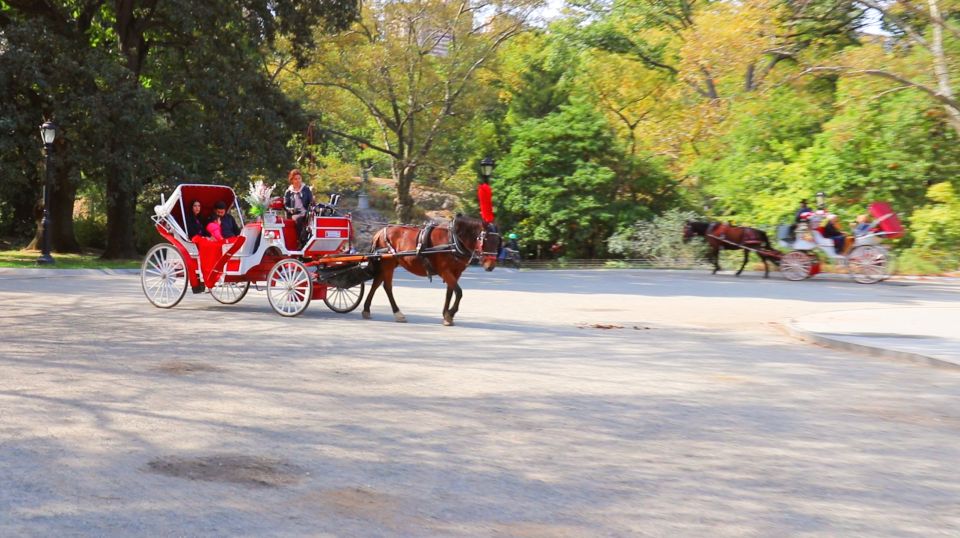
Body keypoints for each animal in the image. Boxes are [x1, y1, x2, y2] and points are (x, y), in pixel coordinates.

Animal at [358, 213, 498, 322]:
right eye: (485, 239)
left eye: (498, 241)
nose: (490, 266)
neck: (452, 240)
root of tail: (379, 233)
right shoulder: (444, 271)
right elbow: (459, 292)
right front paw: (450, 313)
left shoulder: (456, 272)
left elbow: (450, 292)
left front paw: (446, 314)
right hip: (388, 264)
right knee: (387, 287)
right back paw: (397, 313)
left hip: (388, 263)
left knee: (376, 283)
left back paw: (366, 309)